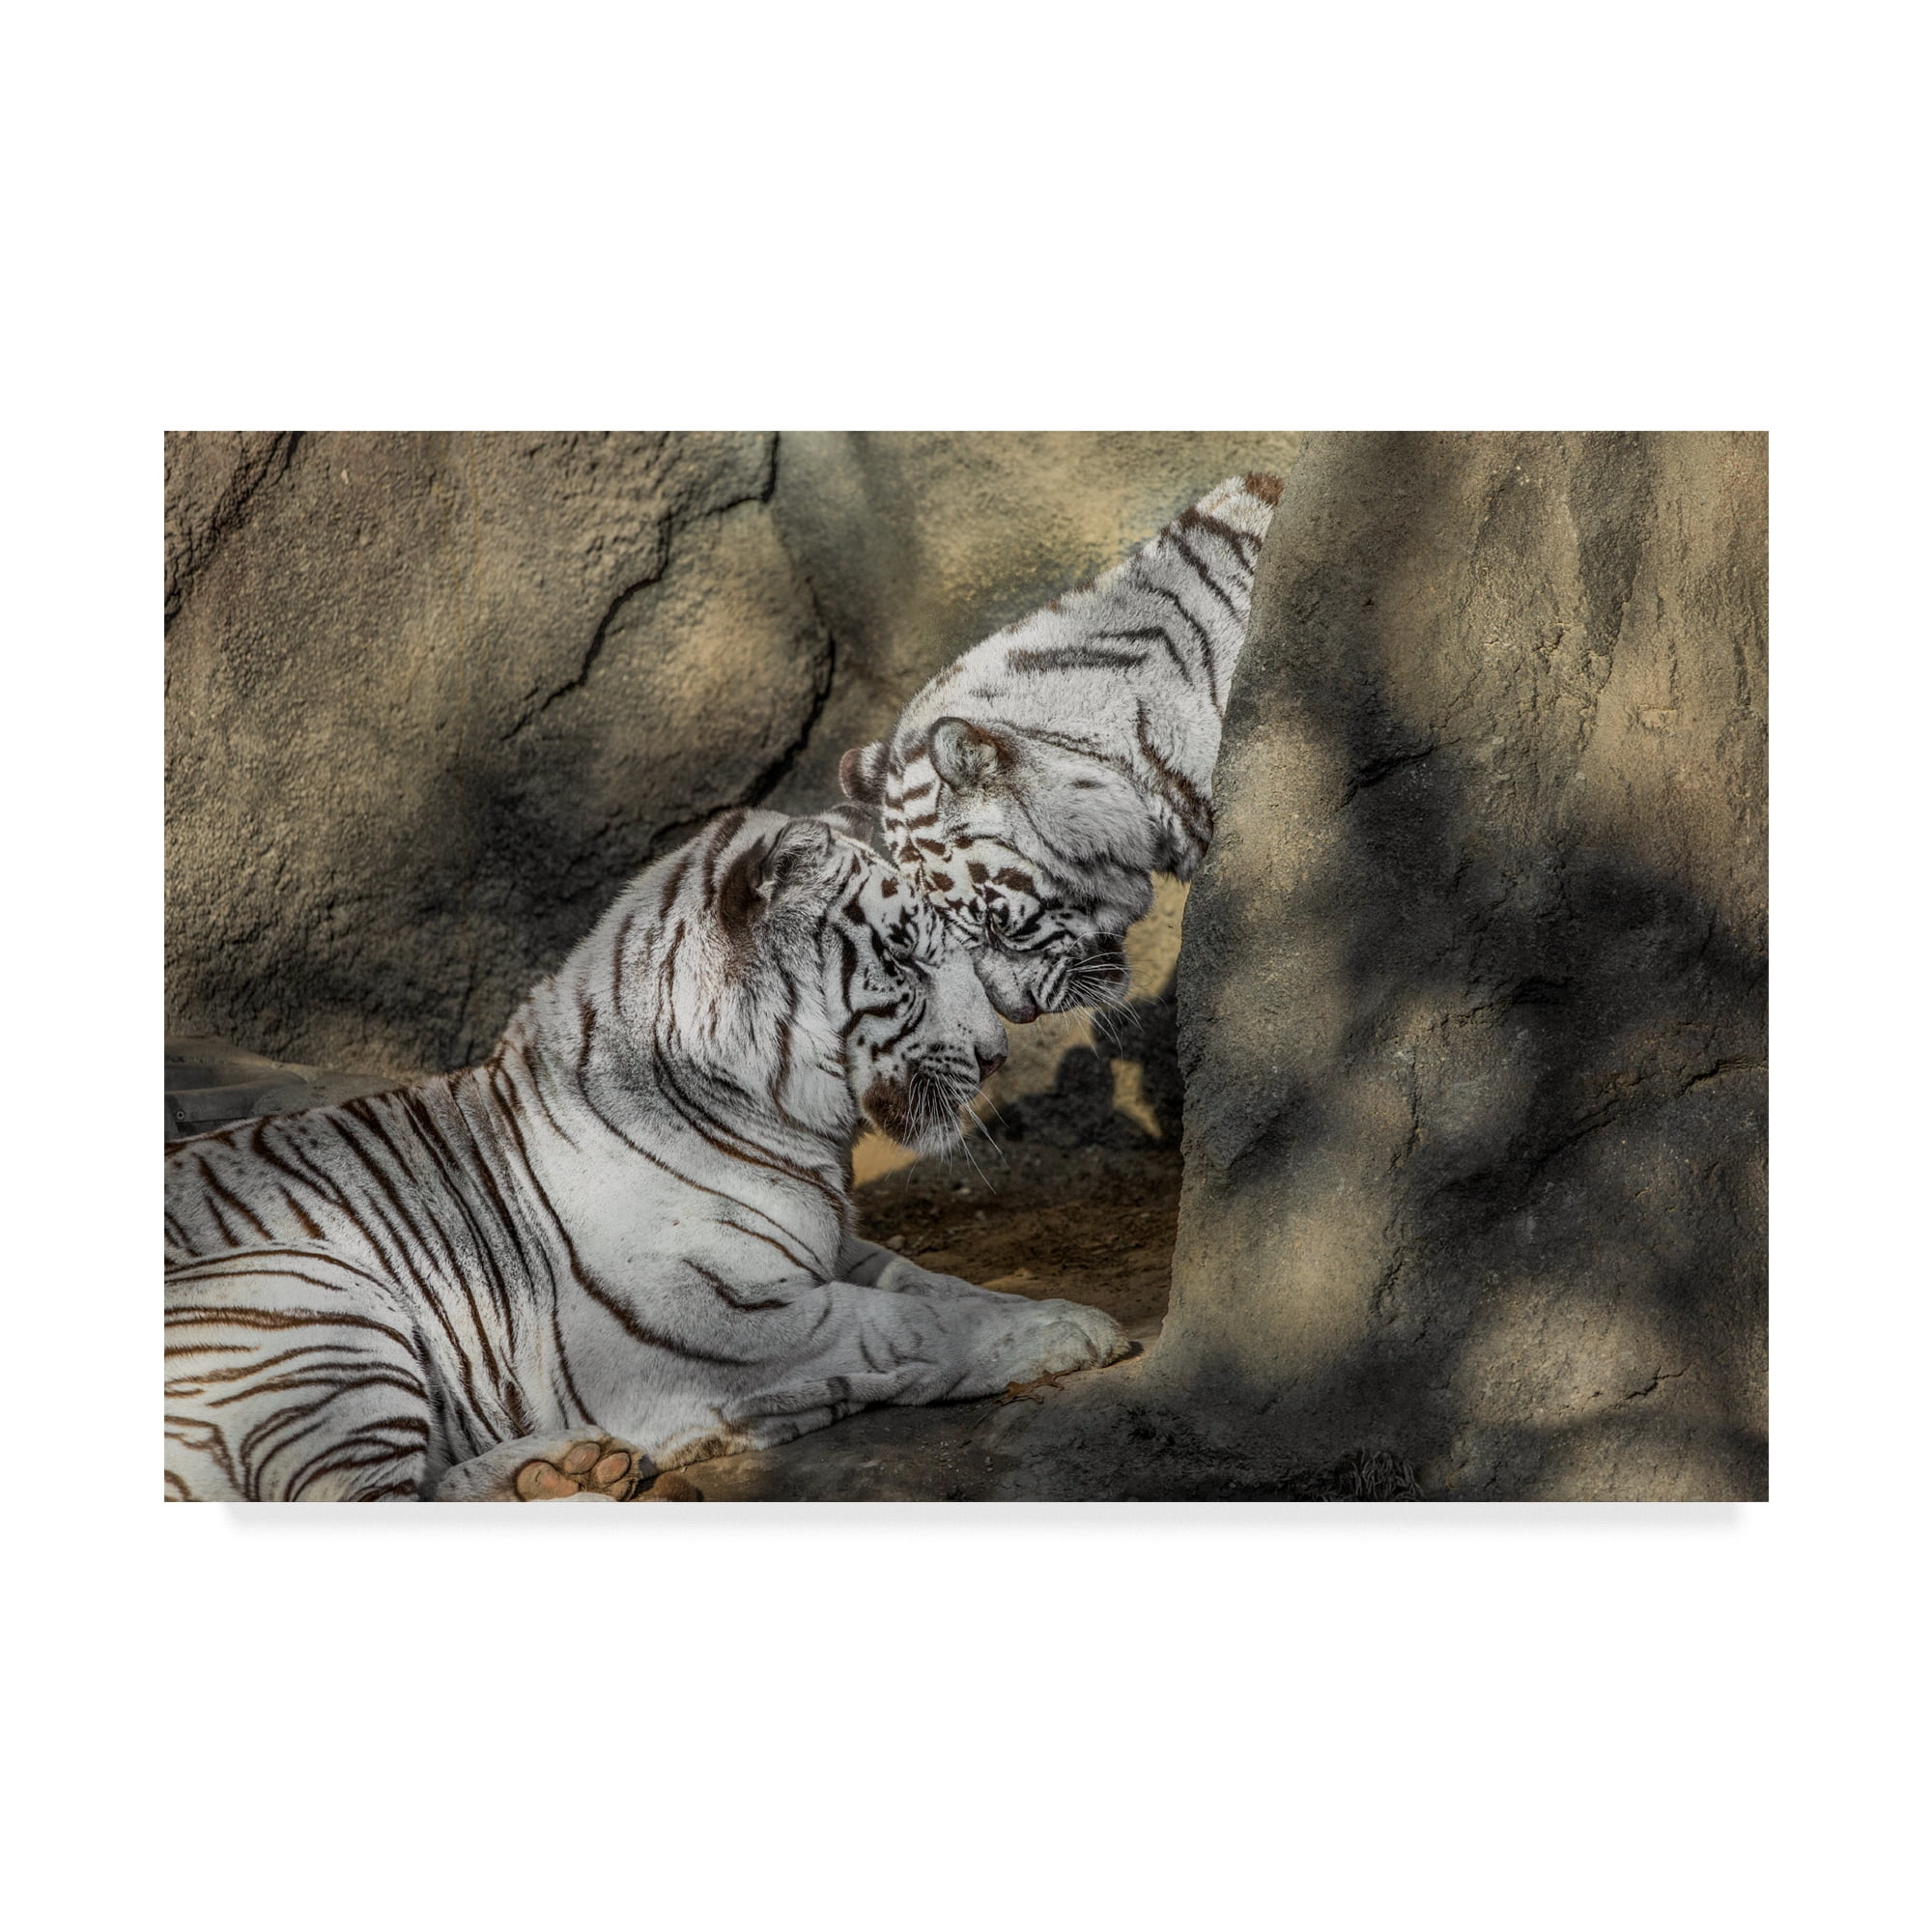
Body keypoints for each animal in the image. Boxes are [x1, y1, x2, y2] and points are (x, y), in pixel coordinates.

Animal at [165, 805, 1130, 1501]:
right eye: (903, 959)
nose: (999, 1055)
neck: (790, 1128)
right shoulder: (703, 1323)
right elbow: (901, 1324)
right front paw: (1071, 1331)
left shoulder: (829, 1246)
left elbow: (931, 1283)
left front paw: (1043, 1309)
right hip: (310, 1297)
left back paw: (561, 1471)